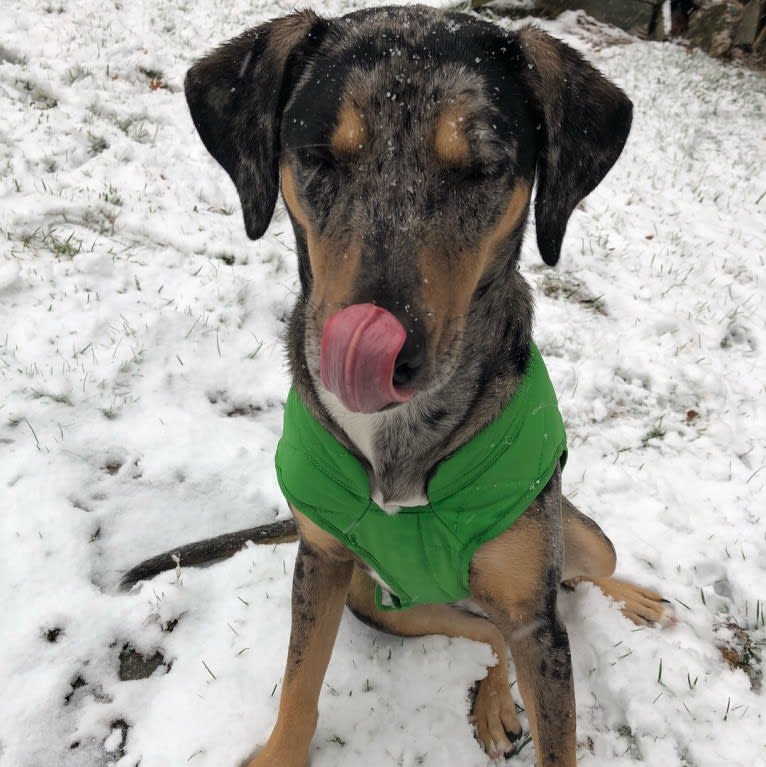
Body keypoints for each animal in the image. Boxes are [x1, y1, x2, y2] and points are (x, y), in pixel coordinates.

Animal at [121, 7, 680, 767]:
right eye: (319, 156)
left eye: (482, 169)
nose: (381, 357)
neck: (401, 441)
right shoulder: (322, 561)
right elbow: (299, 683)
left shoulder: (537, 621)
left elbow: (555, 725)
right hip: (385, 603)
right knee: (483, 633)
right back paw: (494, 702)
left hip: (576, 537)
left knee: (579, 574)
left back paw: (626, 605)